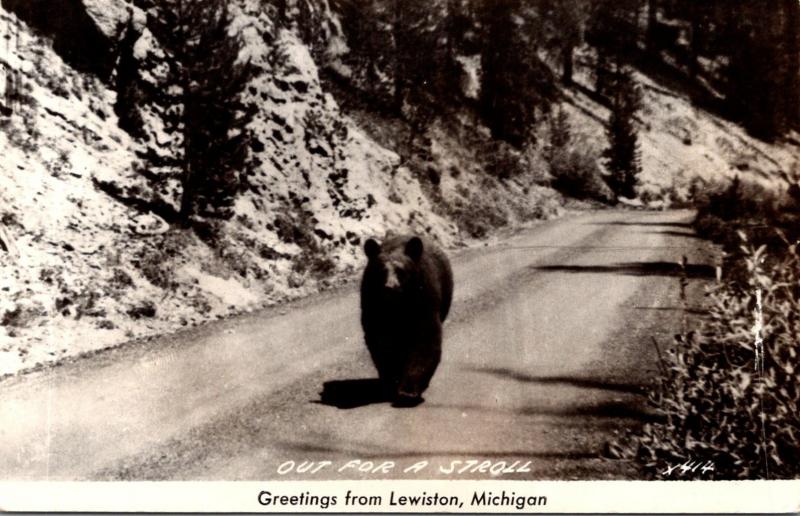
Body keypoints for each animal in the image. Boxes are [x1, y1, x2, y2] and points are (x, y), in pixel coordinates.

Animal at [360, 235, 454, 408]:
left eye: (401, 271)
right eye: (381, 271)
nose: (390, 287)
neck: (398, 304)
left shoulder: (424, 298)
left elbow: (426, 339)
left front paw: (408, 392)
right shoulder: (373, 304)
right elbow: (380, 341)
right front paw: (392, 381)